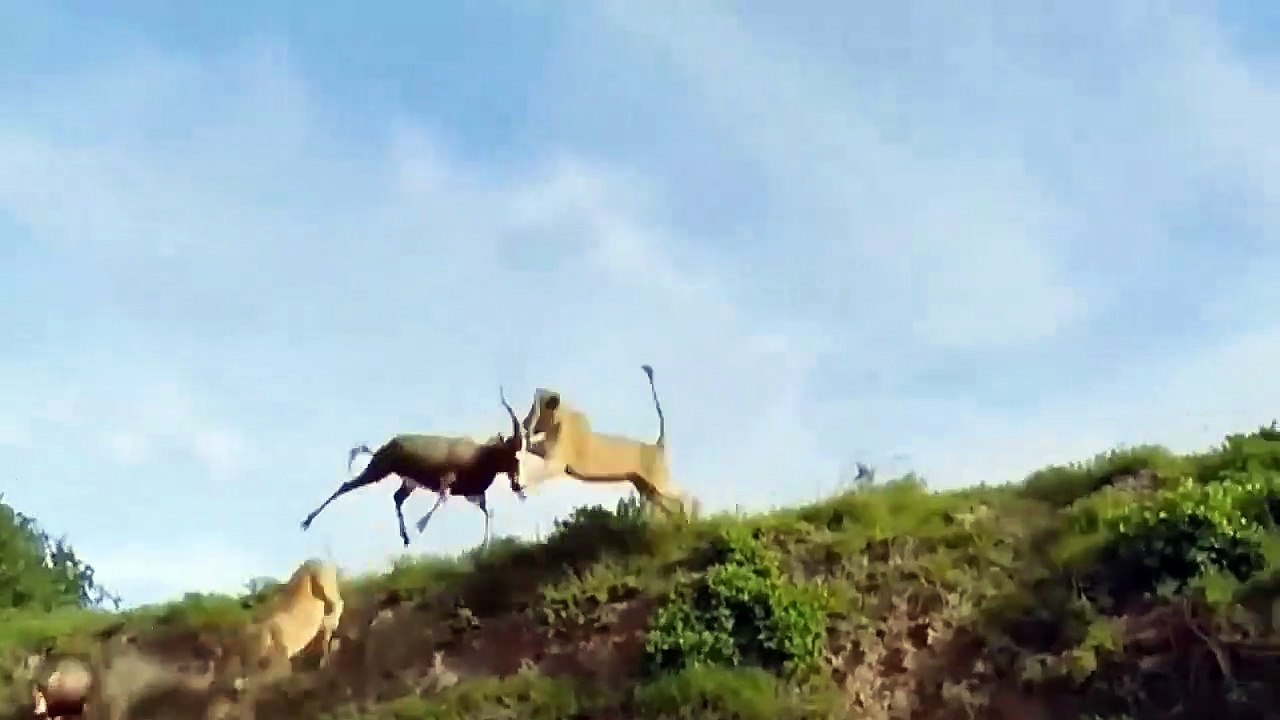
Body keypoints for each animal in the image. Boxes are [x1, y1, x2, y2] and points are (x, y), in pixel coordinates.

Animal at [299, 389, 525, 548]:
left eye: (516, 459)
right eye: (508, 455)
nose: (517, 486)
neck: (480, 456)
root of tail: (383, 447)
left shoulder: (473, 494)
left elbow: (488, 512)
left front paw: (484, 547)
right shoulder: (447, 480)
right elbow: (441, 500)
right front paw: (421, 525)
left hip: (405, 481)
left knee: (396, 497)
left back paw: (406, 539)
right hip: (378, 471)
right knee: (347, 485)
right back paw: (306, 521)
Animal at [511, 365, 697, 517]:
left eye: (535, 407)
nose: (525, 423)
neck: (558, 421)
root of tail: (658, 444)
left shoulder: (558, 462)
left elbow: (538, 473)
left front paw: (521, 485)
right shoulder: (547, 452)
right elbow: (531, 448)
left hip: (659, 483)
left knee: (686, 496)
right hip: (647, 488)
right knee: (667, 506)